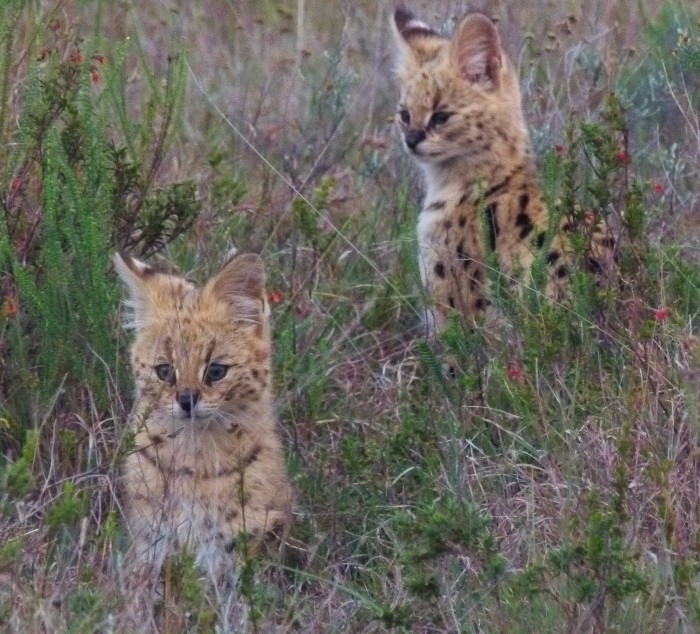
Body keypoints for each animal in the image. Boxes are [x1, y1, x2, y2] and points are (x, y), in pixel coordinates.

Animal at [116, 249, 292, 580]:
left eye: (216, 371)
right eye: (165, 371)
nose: (186, 401)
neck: (193, 457)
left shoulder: (240, 541)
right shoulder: (150, 541)